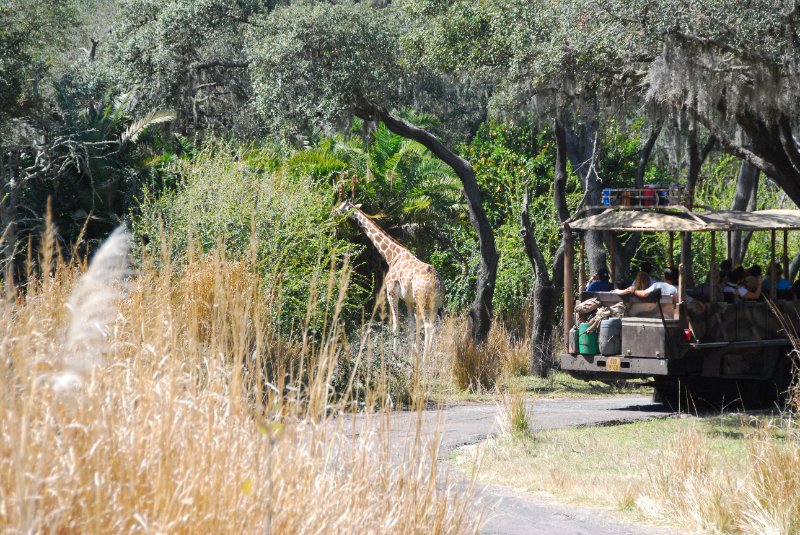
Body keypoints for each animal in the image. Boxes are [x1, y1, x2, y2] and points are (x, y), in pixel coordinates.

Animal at [336, 199, 446, 362]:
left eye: (342, 205)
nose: (334, 211)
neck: (391, 256)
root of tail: (438, 283)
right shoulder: (408, 300)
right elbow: (410, 326)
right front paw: (412, 354)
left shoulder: (391, 292)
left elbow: (396, 324)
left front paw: (395, 354)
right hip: (437, 303)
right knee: (436, 326)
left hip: (423, 301)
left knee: (428, 326)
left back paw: (425, 359)